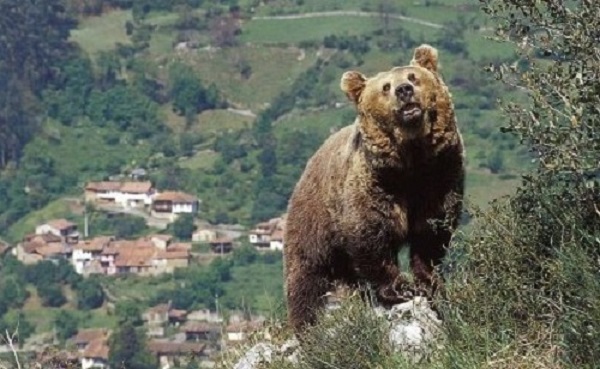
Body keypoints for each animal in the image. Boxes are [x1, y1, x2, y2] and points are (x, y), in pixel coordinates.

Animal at [284, 43, 464, 334]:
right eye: (386, 86)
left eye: (413, 76)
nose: (404, 91)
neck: (410, 163)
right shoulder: (375, 187)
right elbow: (370, 237)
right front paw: (399, 289)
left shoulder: (439, 177)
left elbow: (432, 232)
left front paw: (429, 283)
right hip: (313, 220)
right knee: (307, 275)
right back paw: (306, 324)